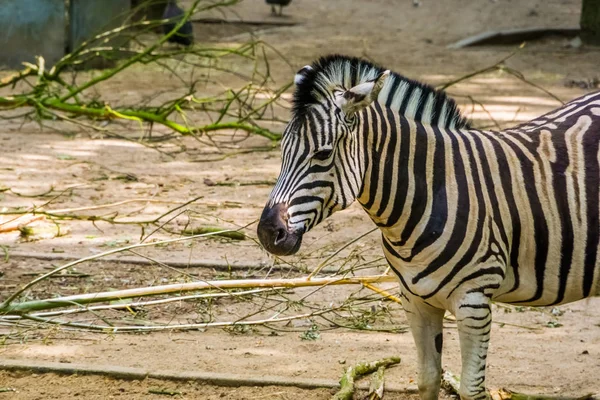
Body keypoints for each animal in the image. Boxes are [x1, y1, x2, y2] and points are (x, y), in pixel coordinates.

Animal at [258, 54, 600, 400]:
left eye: (324, 153)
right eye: (282, 149)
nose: (267, 233)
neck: (432, 194)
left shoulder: (473, 302)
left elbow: (471, 389)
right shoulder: (415, 301)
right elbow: (427, 378)